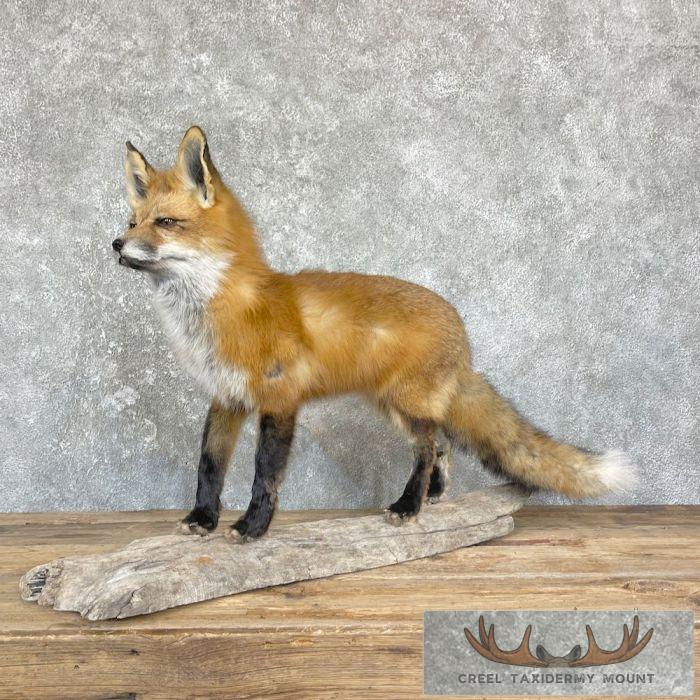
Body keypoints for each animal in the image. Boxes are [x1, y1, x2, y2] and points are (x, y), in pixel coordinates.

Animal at [112, 126, 636, 542]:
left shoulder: (280, 401)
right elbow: (209, 467)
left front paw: (252, 528)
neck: (227, 310)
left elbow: (266, 475)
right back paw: (431, 497)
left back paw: (408, 505)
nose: (116, 244)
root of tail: (460, 327)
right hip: (395, 406)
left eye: (166, 223)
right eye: (132, 221)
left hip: (404, 405)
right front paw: (202, 519)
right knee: (441, 444)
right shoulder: (226, 398)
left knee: (427, 449)